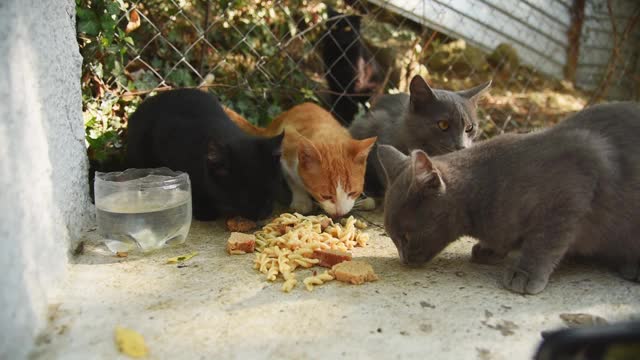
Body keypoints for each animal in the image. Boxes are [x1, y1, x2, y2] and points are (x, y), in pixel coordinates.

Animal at [224, 102, 376, 218]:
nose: (340, 213)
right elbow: (293, 180)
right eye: (325, 196)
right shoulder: (286, 153)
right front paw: (301, 201)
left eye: (352, 193)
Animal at [378, 102, 640, 294]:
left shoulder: (571, 190)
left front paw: (524, 273)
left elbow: (545, 240)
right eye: (393, 238)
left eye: (406, 236)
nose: (404, 259)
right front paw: (490, 249)